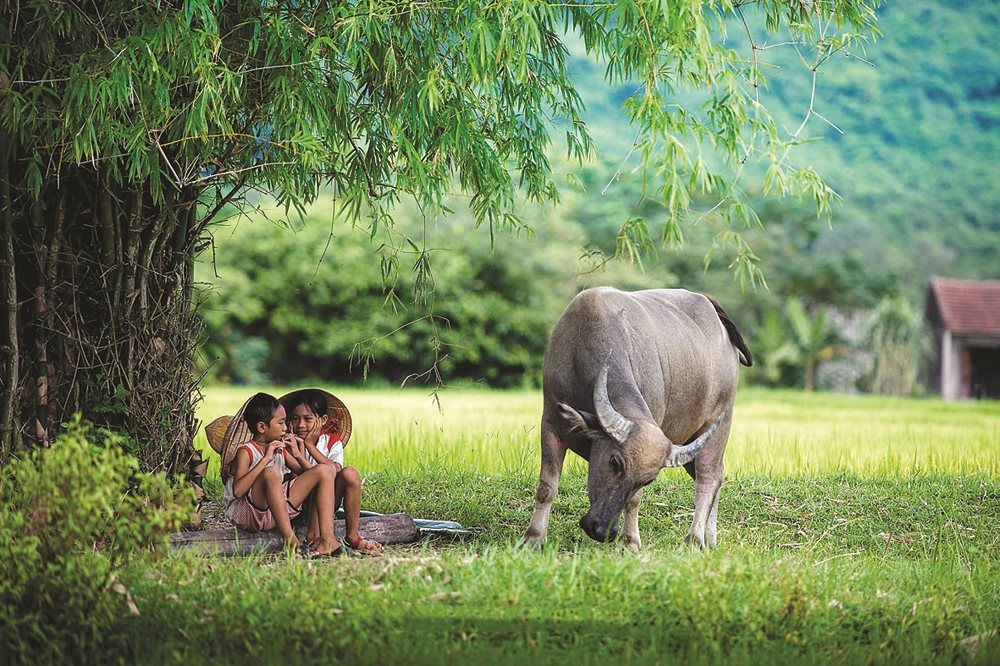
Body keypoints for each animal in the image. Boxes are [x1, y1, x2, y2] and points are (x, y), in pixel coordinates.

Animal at [524, 286, 752, 548]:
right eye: (614, 462)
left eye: (647, 480)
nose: (602, 531)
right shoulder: (551, 424)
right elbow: (547, 487)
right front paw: (533, 537)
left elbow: (634, 500)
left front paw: (630, 542)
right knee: (717, 475)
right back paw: (710, 538)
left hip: (720, 423)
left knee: (708, 478)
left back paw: (694, 539)